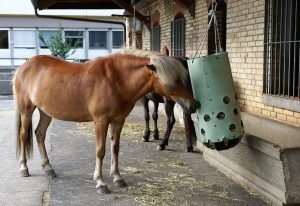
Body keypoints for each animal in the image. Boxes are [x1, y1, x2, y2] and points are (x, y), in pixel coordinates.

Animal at [12, 49, 199, 194]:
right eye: (170, 82)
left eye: (184, 78)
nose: (194, 105)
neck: (116, 80)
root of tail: (23, 67)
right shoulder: (101, 121)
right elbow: (100, 151)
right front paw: (101, 183)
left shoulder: (118, 121)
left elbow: (115, 148)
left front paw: (118, 178)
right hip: (26, 110)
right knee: (23, 135)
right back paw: (23, 168)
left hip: (45, 112)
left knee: (39, 134)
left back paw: (48, 168)